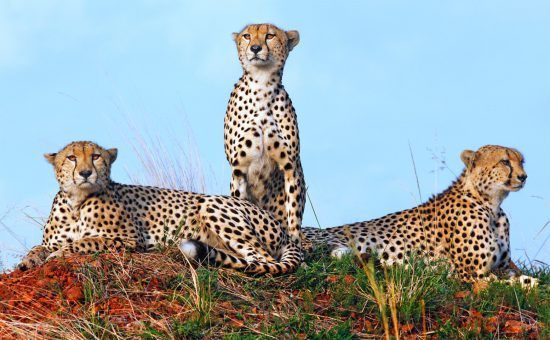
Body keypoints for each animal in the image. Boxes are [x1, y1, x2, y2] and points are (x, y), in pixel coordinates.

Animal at [17, 140, 302, 274]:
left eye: (96, 156)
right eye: (71, 158)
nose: (86, 173)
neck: (77, 202)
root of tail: (284, 229)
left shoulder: (131, 240)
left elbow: (87, 241)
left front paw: (59, 254)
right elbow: (38, 247)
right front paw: (27, 261)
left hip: (212, 203)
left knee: (262, 260)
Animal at [226, 23, 308, 252]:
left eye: (270, 35)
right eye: (247, 36)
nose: (255, 48)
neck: (262, 86)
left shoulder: (290, 166)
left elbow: (293, 215)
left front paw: (295, 248)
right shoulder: (238, 168)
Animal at [304, 145, 536, 286]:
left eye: (522, 161)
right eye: (505, 161)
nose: (524, 176)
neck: (491, 205)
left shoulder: (502, 266)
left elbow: (513, 274)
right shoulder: (470, 274)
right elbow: (505, 283)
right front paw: (528, 283)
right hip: (318, 243)